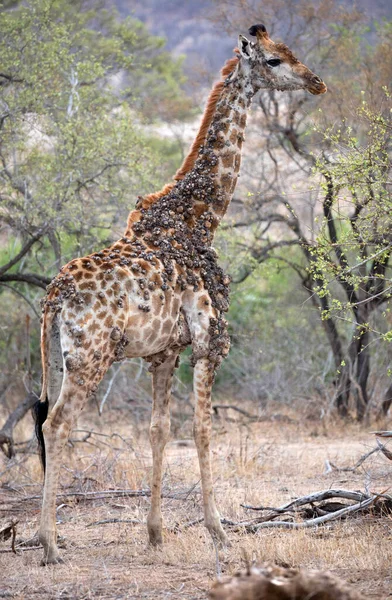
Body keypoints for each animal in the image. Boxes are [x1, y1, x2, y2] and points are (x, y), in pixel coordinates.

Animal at [34, 23, 328, 564]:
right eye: (274, 60)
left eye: (291, 52)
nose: (316, 82)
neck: (201, 220)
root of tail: (53, 297)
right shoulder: (210, 340)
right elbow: (202, 429)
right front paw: (220, 534)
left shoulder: (164, 352)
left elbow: (159, 429)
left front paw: (154, 533)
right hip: (90, 357)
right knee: (57, 424)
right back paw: (49, 543)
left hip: (67, 357)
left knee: (52, 422)